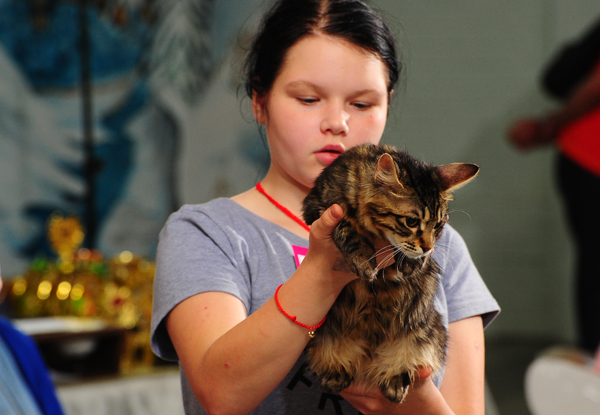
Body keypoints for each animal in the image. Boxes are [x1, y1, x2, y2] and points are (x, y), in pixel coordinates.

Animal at [301, 143, 479, 403]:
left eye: (439, 225)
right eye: (411, 221)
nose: (428, 248)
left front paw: (412, 262)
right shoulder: (317, 208)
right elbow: (345, 226)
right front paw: (363, 259)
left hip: (424, 335)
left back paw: (394, 383)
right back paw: (334, 375)